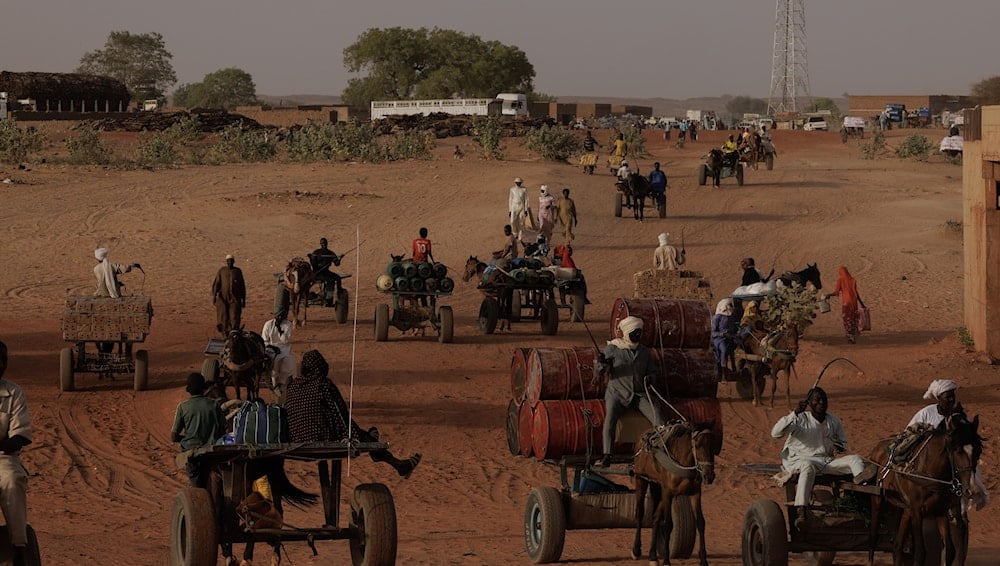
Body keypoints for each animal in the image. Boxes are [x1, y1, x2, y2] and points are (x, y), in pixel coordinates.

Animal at [628, 422, 716, 566]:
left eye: (714, 445)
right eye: (697, 445)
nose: (709, 476)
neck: (681, 461)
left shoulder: (695, 493)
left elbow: (700, 522)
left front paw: (703, 560)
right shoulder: (668, 494)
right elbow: (668, 524)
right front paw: (666, 561)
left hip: (658, 488)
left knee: (655, 518)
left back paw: (653, 556)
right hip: (641, 479)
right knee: (640, 513)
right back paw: (636, 550)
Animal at [868, 412, 984, 566]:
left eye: (978, 450)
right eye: (958, 450)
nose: (971, 490)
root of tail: (878, 447)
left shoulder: (941, 510)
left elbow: (949, 550)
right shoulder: (917, 511)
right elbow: (920, 553)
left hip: (906, 509)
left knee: (897, 545)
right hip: (877, 500)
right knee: (873, 536)